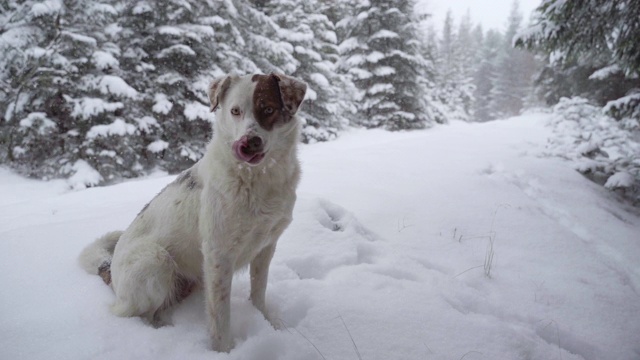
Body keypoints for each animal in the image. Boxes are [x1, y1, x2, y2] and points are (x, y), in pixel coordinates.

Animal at [77, 72, 308, 352]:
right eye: (235, 111)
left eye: (268, 109)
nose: (247, 143)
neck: (257, 179)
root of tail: (109, 269)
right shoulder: (218, 254)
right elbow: (220, 316)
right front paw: (224, 351)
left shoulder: (266, 247)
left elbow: (258, 293)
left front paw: (266, 322)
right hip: (156, 261)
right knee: (136, 314)